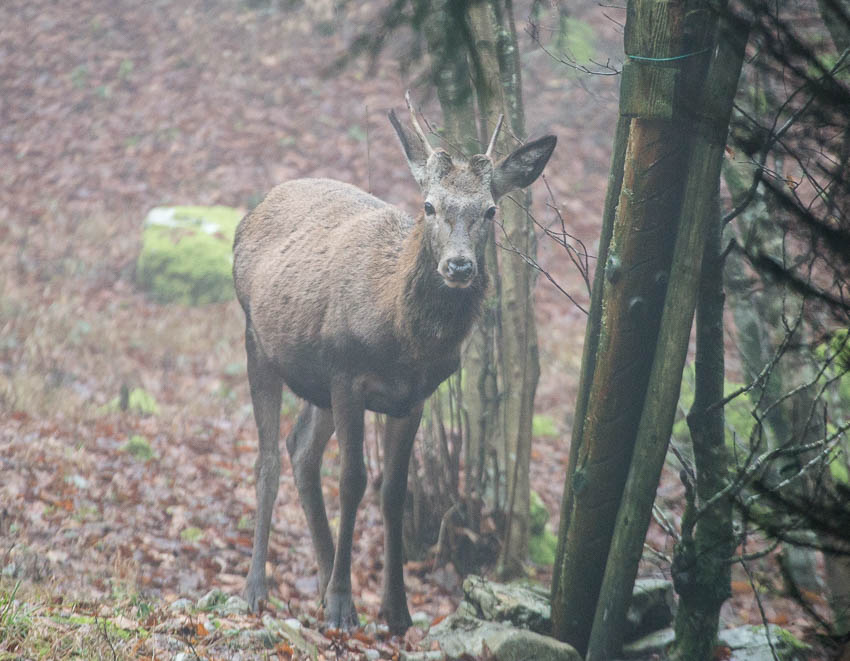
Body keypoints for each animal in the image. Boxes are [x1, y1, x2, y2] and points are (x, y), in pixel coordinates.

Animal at [230, 94, 556, 636]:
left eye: (490, 210)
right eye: (429, 205)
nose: (459, 266)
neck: (402, 341)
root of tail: (250, 214)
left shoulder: (412, 398)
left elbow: (395, 494)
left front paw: (396, 610)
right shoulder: (347, 375)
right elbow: (353, 481)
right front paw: (344, 606)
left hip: (314, 380)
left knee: (300, 451)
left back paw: (320, 580)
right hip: (258, 340)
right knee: (268, 460)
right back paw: (257, 590)